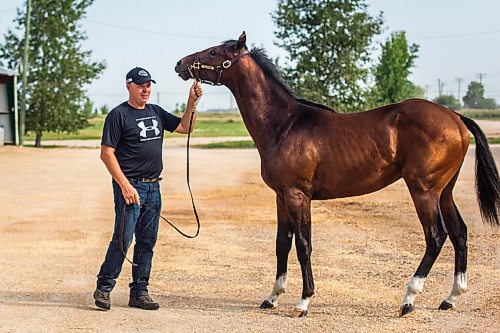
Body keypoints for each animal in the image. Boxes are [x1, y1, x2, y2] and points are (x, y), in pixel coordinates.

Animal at [174, 31, 498, 316]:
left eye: (214, 52)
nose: (180, 64)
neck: (284, 125)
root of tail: (456, 118)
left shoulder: (298, 196)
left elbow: (303, 245)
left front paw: (303, 302)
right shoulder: (281, 197)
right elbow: (282, 244)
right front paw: (272, 297)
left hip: (424, 190)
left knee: (436, 236)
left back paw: (409, 299)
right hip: (445, 191)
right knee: (459, 233)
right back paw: (450, 298)